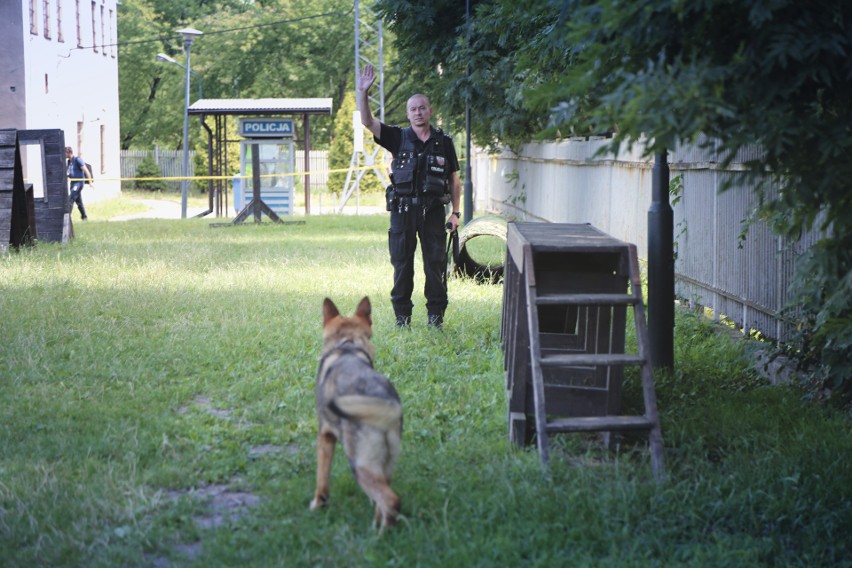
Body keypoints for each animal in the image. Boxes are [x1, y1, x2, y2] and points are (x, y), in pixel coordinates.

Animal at [312, 298, 404, 528]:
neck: (348, 345)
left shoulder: (325, 435)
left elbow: (322, 478)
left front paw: (319, 503)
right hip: (385, 463)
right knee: (384, 502)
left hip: (361, 465)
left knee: (391, 501)